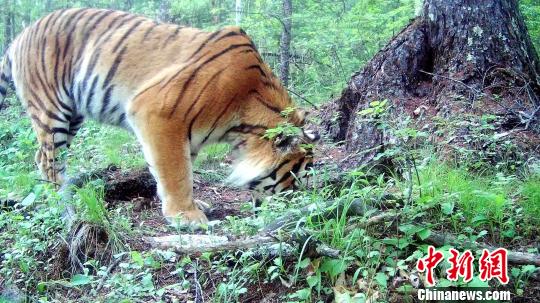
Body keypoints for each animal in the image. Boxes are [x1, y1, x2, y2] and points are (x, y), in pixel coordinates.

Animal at [0, 8, 320, 224]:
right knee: (47, 160)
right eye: (293, 178)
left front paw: (188, 205)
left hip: (73, 116)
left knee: (43, 157)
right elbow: (176, 171)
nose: (299, 211)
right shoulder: (157, 112)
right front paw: (186, 216)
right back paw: (63, 203)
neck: (241, 126)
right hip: (51, 109)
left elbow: (176, 169)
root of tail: (19, 37)